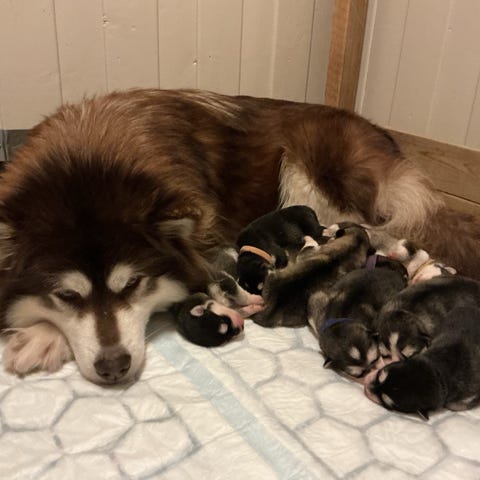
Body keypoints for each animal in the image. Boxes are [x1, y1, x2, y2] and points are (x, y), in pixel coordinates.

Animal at [1, 88, 479, 384]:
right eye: (67, 295)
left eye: (134, 284)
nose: (114, 367)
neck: (91, 156)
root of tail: (388, 139)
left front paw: (42, 337)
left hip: (310, 172)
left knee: (381, 231)